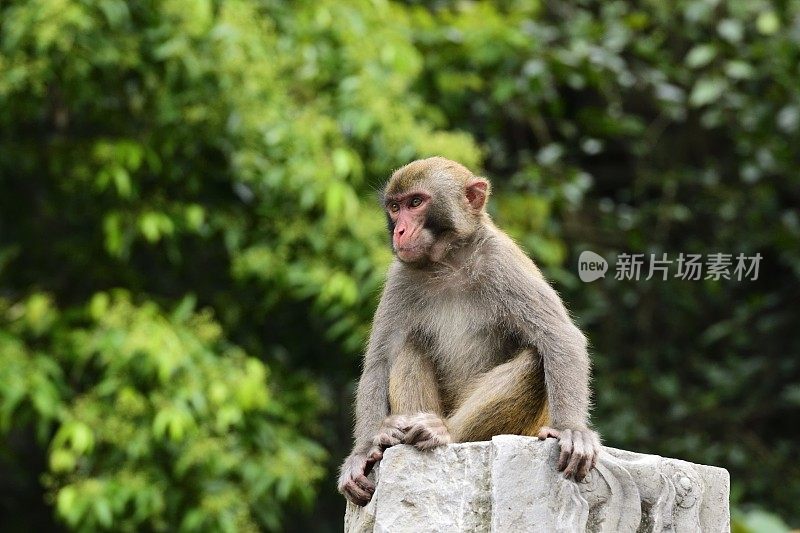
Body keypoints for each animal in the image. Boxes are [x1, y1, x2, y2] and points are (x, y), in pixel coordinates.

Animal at [338, 156, 600, 504]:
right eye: (395, 207)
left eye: (416, 202)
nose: (400, 230)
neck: (448, 260)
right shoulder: (400, 278)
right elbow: (379, 363)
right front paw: (364, 451)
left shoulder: (501, 261)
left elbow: (559, 338)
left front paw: (572, 429)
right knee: (407, 347)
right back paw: (399, 434)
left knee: (534, 360)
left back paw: (444, 433)